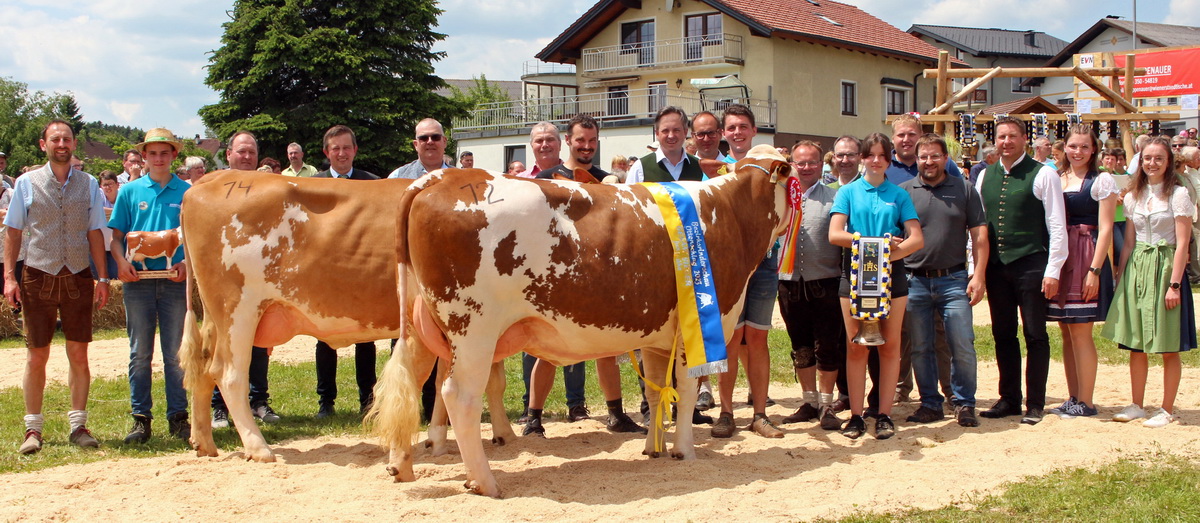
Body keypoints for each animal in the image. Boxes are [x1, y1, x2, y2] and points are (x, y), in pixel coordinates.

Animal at [177, 170, 516, 460]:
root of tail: (214, 178)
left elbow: (469, 379)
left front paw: (442, 440)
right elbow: (490, 379)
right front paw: (503, 434)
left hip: (215, 316)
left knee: (203, 368)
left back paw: (204, 443)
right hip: (238, 310)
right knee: (229, 374)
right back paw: (259, 448)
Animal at [369, 145, 792, 496]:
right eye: (793, 174)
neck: (730, 213)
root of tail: (441, 177)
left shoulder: (659, 335)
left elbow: (657, 391)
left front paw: (653, 448)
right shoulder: (703, 325)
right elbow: (685, 392)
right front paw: (684, 451)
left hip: (422, 326)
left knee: (409, 381)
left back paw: (401, 467)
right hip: (474, 329)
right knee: (459, 395)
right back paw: (484, 482)